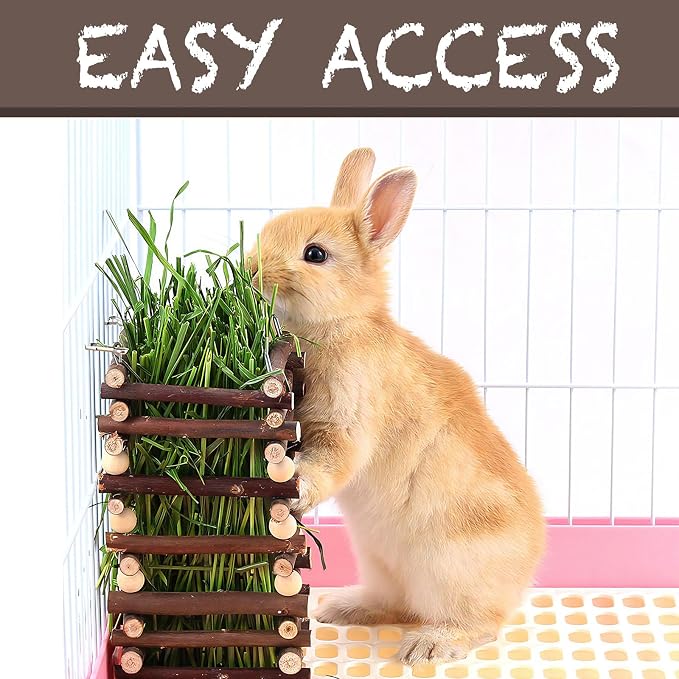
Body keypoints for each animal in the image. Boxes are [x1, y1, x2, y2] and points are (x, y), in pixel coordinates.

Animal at [249, 148, 546, 665]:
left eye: (315, 254)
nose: (252, 269)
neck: (344, 323)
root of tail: (524, 573)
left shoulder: (347, 420)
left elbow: (331, 460)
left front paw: (297, 491)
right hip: (378, 560)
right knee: (396, 603)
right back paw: (339, 608)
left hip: (452, 572)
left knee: (479, 624)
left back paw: (428, 646)